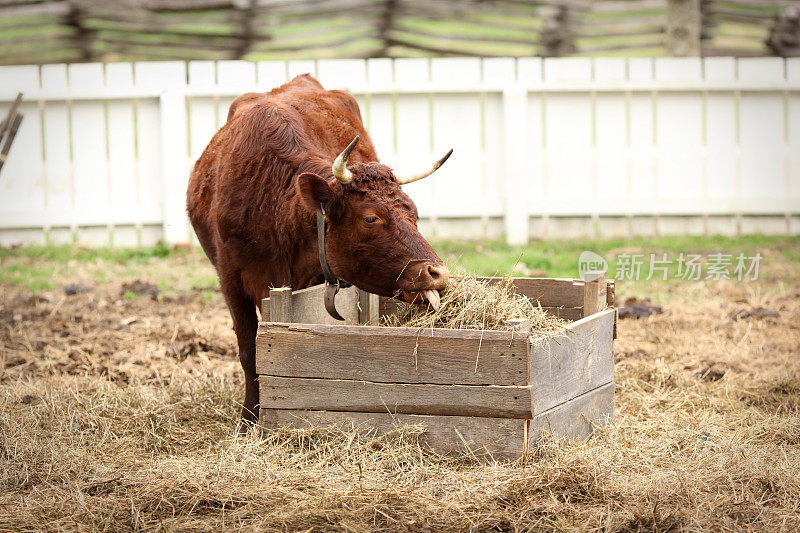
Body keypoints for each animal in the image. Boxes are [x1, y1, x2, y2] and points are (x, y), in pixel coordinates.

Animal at [185, 75, 454, 424]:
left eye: (414, 212)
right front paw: (248, 418)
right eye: (371, 218)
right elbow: (248, 350)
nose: (438, 273)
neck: (273, 206)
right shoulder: (230, 279)